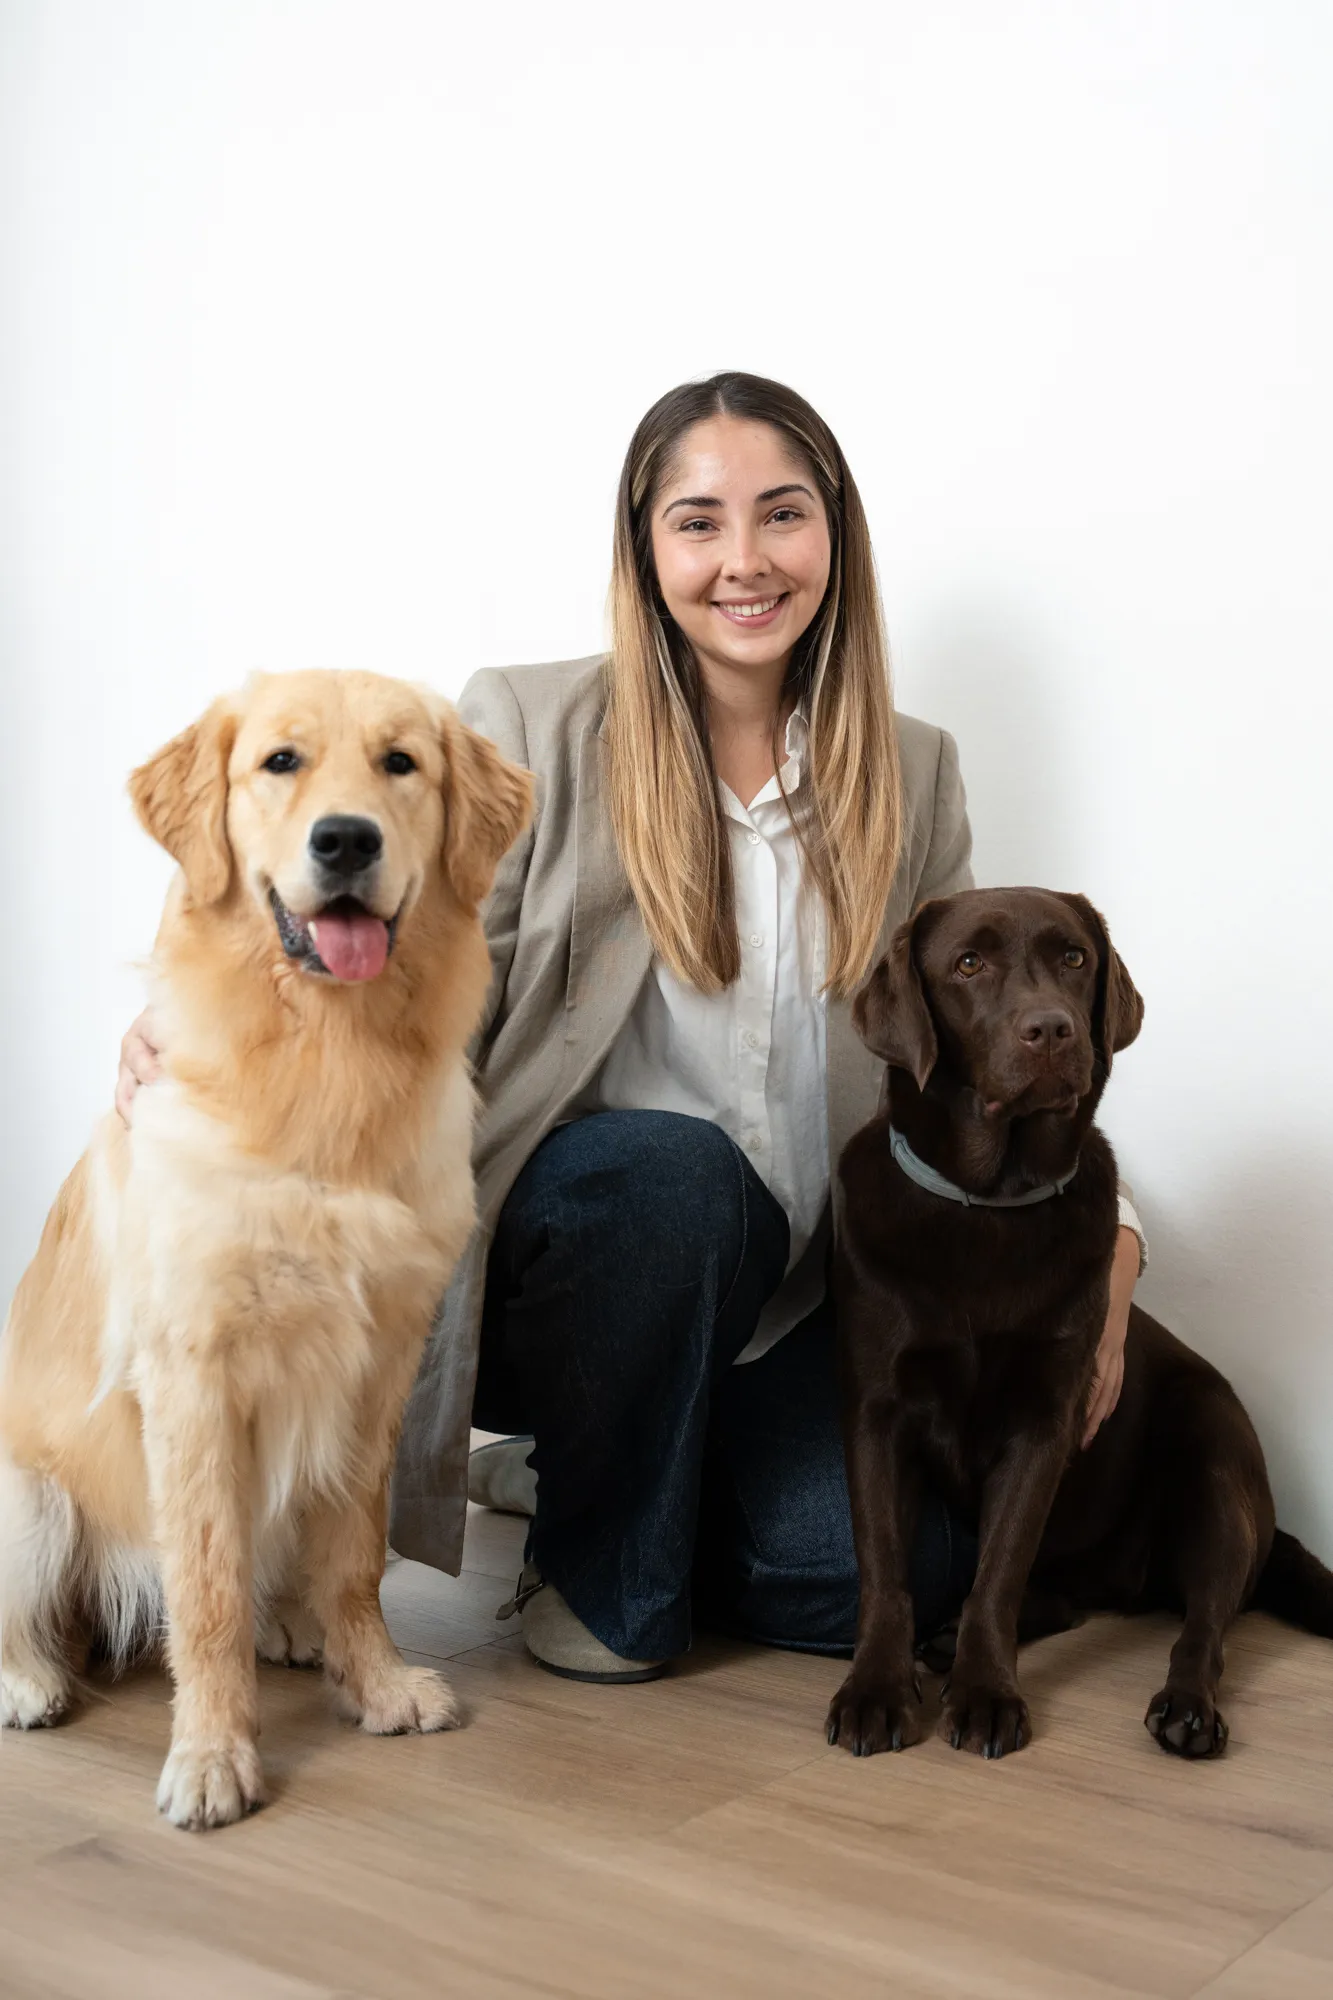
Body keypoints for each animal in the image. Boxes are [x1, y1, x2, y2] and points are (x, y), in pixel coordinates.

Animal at [0, 670, 532, 1828]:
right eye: (279, 762)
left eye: (399, 763)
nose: (346, 839)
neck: (327, 1058)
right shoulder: (192, 1373)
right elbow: (202, 1587)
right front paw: (211, 1754)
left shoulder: (379, 1365)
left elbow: (355, 1557)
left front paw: (373, 1681)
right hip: (27, 1497)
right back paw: (28, 1678)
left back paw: (289, 1627)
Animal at [827, 887, 1333, 1762]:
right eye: (968, 963)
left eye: (1073, 958)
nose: (1052, 1029)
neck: (990, 1204)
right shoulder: (877, 1410)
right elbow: (885, 1569)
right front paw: (876, 1691)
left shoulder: (1046, 1416)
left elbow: (999, 1568)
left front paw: (986, 1694)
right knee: (1068, 1599)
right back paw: (946, 1635)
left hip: (1212, 1466)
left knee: (1204, 1624)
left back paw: (1185, 1709)